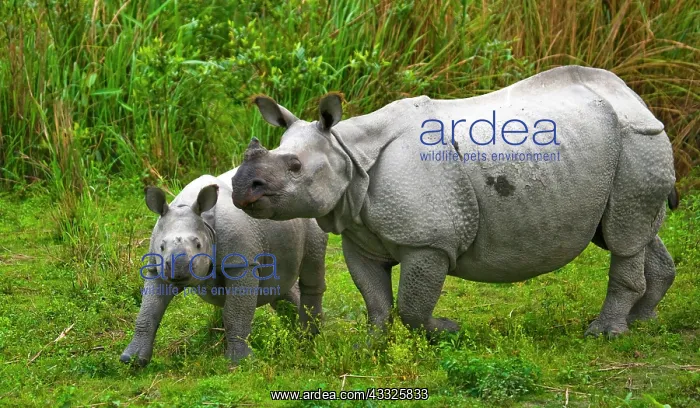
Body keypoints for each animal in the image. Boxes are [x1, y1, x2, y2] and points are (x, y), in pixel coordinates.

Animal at [121, 170, 327, 366]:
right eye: (162, 247)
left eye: (198, 245)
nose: (178, 269)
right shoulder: (156, 267)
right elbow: (148, 313)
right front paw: (132, 360)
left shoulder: (241, 263)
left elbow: (235, 313)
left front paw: (239, 362)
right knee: (280, 287)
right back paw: (300, 337)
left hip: (311, 211)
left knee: (312, 264)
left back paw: (312, 337)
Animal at [231, 65, 678, 338]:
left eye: (294, 167)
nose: (238, 189)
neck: (348, 155)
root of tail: (633, 97)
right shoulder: (359, 234)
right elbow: (376, 302)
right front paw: (370, 347)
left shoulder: (429, 241)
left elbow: (412, 305)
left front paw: (448, 329)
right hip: (622, 144)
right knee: (629, 230)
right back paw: (643, 322)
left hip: (638, 138)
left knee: (624, 235)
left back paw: (604, 334)